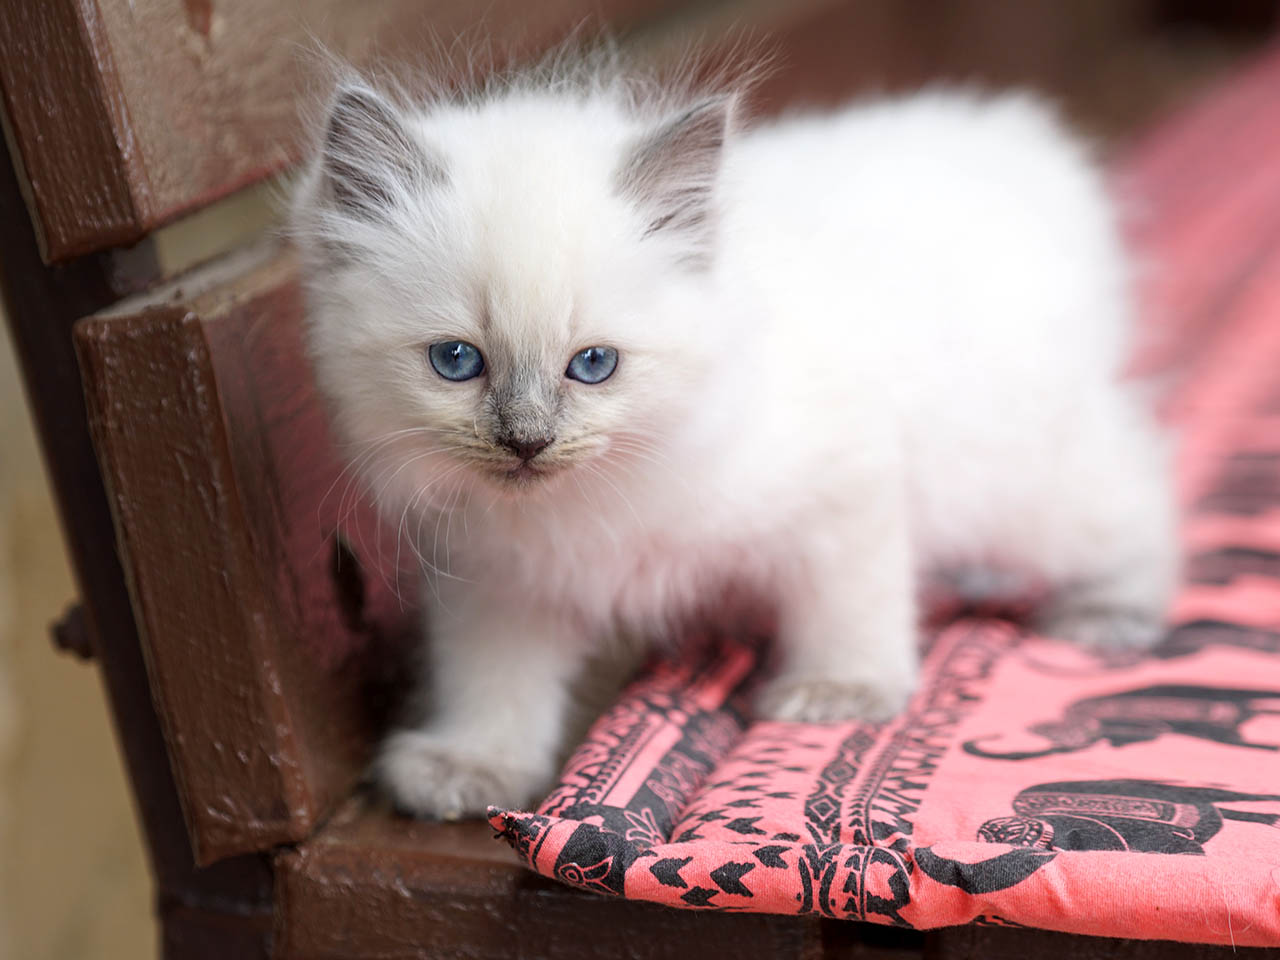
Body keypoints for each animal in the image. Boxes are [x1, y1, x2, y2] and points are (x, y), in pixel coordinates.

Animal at [290, 58, 1177, 819]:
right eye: (457, 361)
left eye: (593, 365)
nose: (526, 441)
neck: (589, 502)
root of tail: (1018, 143)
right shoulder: (498, 580)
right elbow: (494, 684)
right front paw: (469, 767)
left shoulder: (846, 489)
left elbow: (851, 606)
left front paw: (840, 693)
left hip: (1025, 480)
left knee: (1143, 491)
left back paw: (1109, 612)